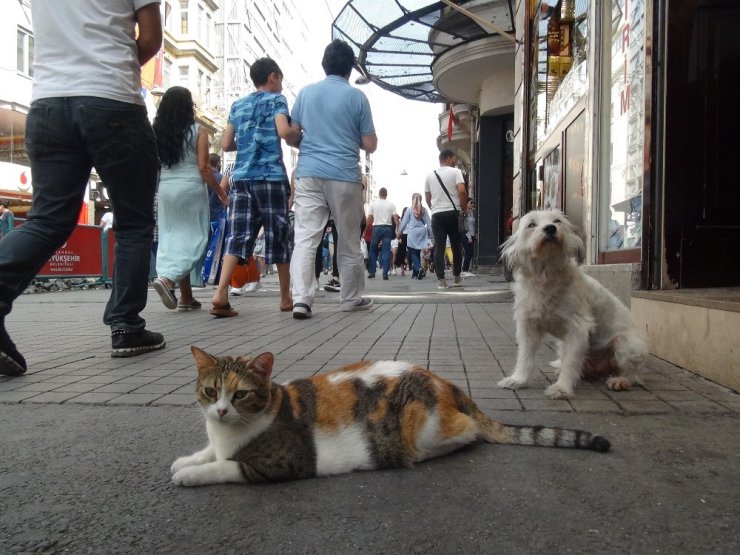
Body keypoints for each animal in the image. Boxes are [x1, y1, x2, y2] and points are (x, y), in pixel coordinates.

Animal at [171, 348, 608, 486]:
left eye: (240, 395)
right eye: (210, 392)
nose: (221, 409)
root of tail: (453, 387)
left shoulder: (284, 461)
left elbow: (227, 467)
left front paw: (190, 475)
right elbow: (209, 452)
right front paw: (187, 459)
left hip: (423, 424)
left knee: (468, 432)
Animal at [498, 210, 648, 400]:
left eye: (557, 221)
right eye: (531, 225)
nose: (550, 228)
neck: (547, 276)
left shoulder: (577, 328)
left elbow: (570, 362)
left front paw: (562, 388)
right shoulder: (528, 326)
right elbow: (525, 356)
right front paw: (518, 380)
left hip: (625, 345)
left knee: (634, 374)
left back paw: (620, 380)